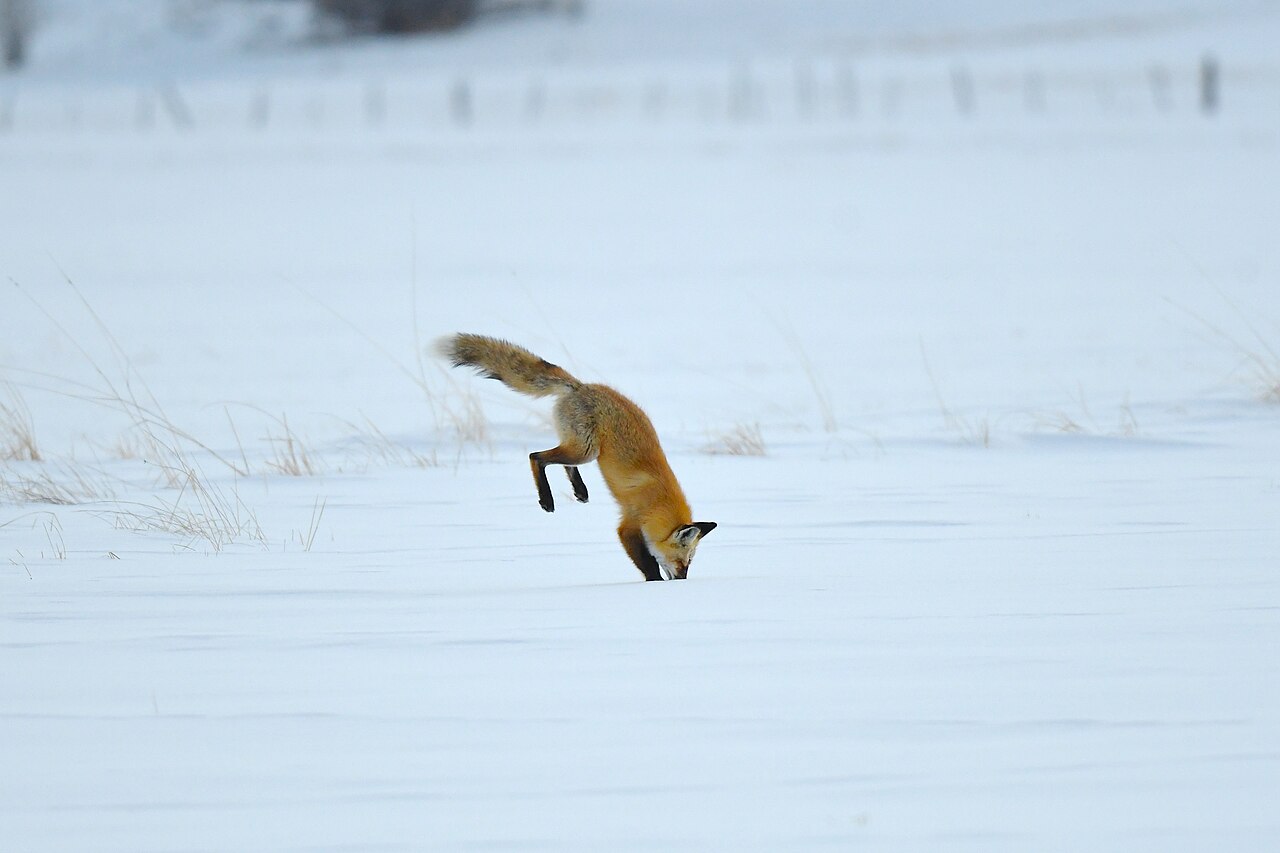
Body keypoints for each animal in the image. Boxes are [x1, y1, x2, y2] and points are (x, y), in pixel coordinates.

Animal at [437, 333, 716, 581]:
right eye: (684, 562)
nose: (682, 581)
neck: (658, 501)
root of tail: (580, 386)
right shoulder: (628, 526)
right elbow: (647, 565)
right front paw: (655, 584)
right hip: (584, 450)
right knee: (536, 457)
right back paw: (547, 499)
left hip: (582, 451)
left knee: (558, 462)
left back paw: (580, 491)